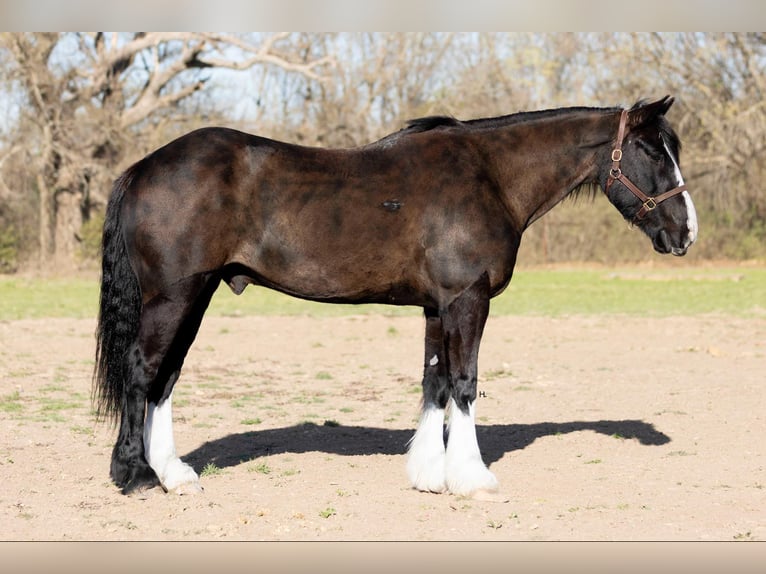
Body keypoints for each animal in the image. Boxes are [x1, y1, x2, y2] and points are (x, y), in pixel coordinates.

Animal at [93, 95, 698, 497]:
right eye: (651, 150)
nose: (685, 232)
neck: (490, 177)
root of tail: (142, 169)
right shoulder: (468, 300)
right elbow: (465, 382)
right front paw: (472, 477)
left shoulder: (437, 306)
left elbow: (435, 382)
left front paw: (430, 474)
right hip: (174, 296)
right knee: (143, 369)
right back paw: (136, 475)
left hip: (196, 296)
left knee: (166, 376)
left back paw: (174, 474)